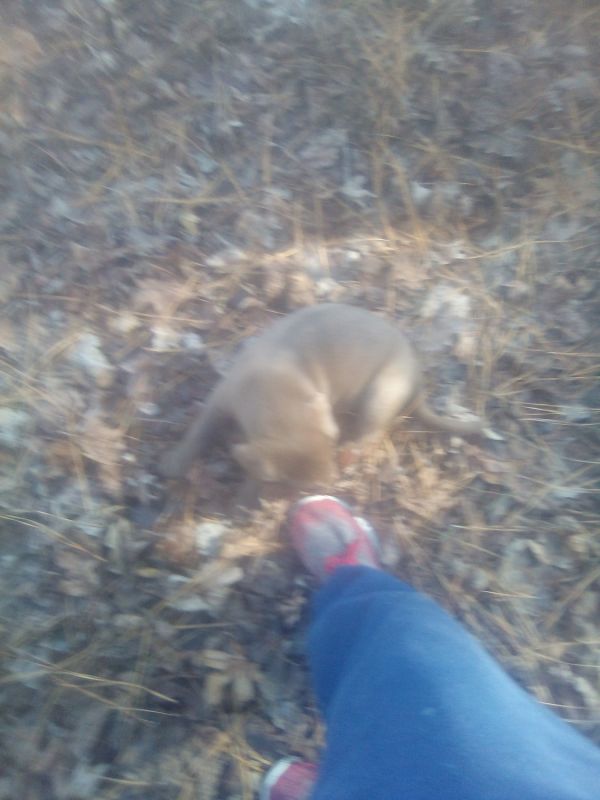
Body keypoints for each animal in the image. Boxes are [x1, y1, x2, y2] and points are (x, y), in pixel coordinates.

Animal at [159, 304, 482, 490]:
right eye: (304, 488)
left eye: (329, 443)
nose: (333, 484)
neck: (274, 388)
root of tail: (416, 377)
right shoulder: (221, 398)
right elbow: (199, 430)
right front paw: (176, 461)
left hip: (381, 393)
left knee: (372, 433)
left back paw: (351, 452)